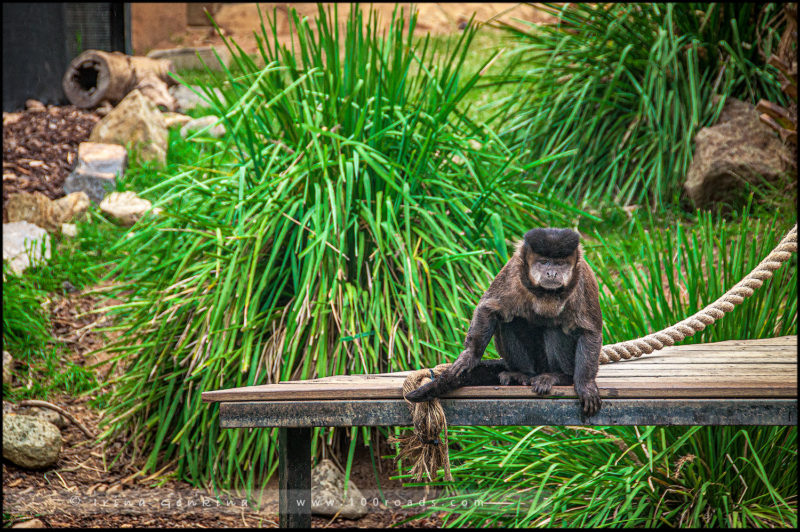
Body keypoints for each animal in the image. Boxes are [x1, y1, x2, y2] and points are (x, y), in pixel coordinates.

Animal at [406, 227, 600, 418]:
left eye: (560, 264)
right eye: (544, 262)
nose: (552, 273)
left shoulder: (583, 278)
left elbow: (590, 331)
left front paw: (585, 384)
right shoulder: (514, 269)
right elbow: (488, 308)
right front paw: (470, 356)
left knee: (555, 329)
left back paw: (559, 376)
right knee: (509, 321)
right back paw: (521, 374)